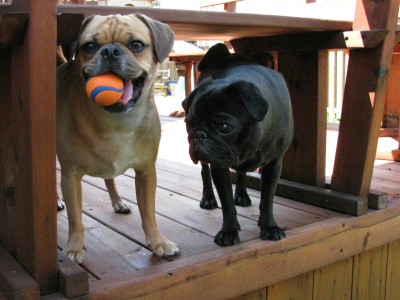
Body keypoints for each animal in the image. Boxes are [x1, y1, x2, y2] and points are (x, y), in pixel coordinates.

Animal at [56, 14, 180, 262]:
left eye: (136, 45)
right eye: (89, 46)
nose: (110, 50)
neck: (117, 123)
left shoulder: (146, 173)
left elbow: (148, 213)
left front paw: (157, 242)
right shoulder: (70, 176)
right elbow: (76, 218)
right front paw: (74, 247)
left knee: (109, 179)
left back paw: (118, 201)